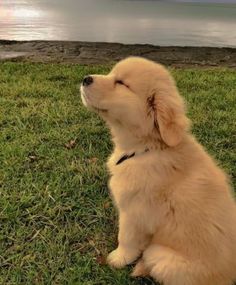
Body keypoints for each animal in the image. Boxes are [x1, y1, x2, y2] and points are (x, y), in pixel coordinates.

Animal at [79, 56, 236, 284]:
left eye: (121, 83)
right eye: (111, 74)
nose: (85, 79)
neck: (148, 148)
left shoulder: (133, 213)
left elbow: (125, 238)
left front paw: (116, 259)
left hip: (159, 254)